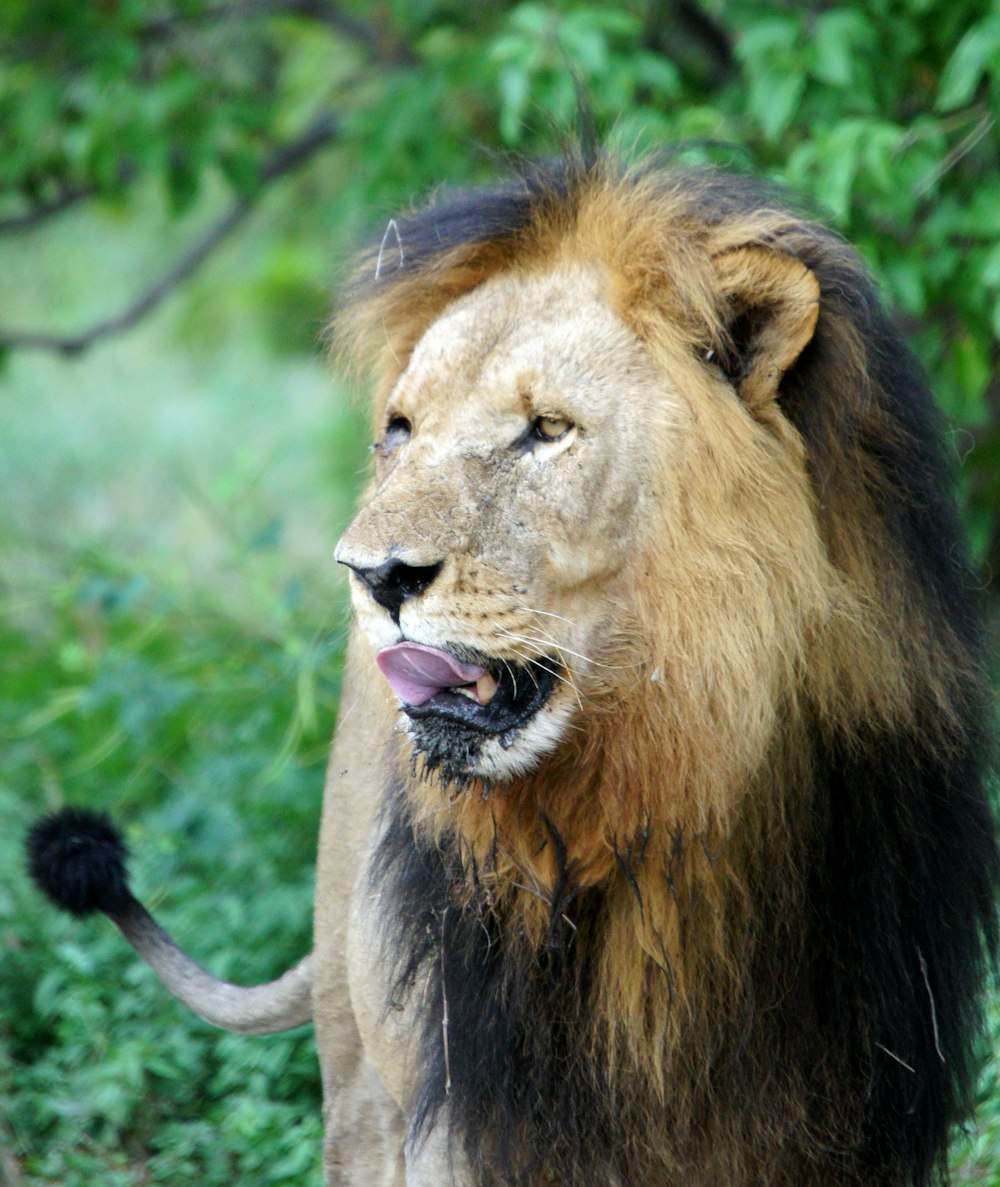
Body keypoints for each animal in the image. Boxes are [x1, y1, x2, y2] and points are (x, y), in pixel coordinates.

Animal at [29, 150, 997, 1187]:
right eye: (401, 429)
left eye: (546, 429)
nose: (371, 574)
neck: (669, 796)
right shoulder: (477, 1114)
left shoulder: (851, 1110)